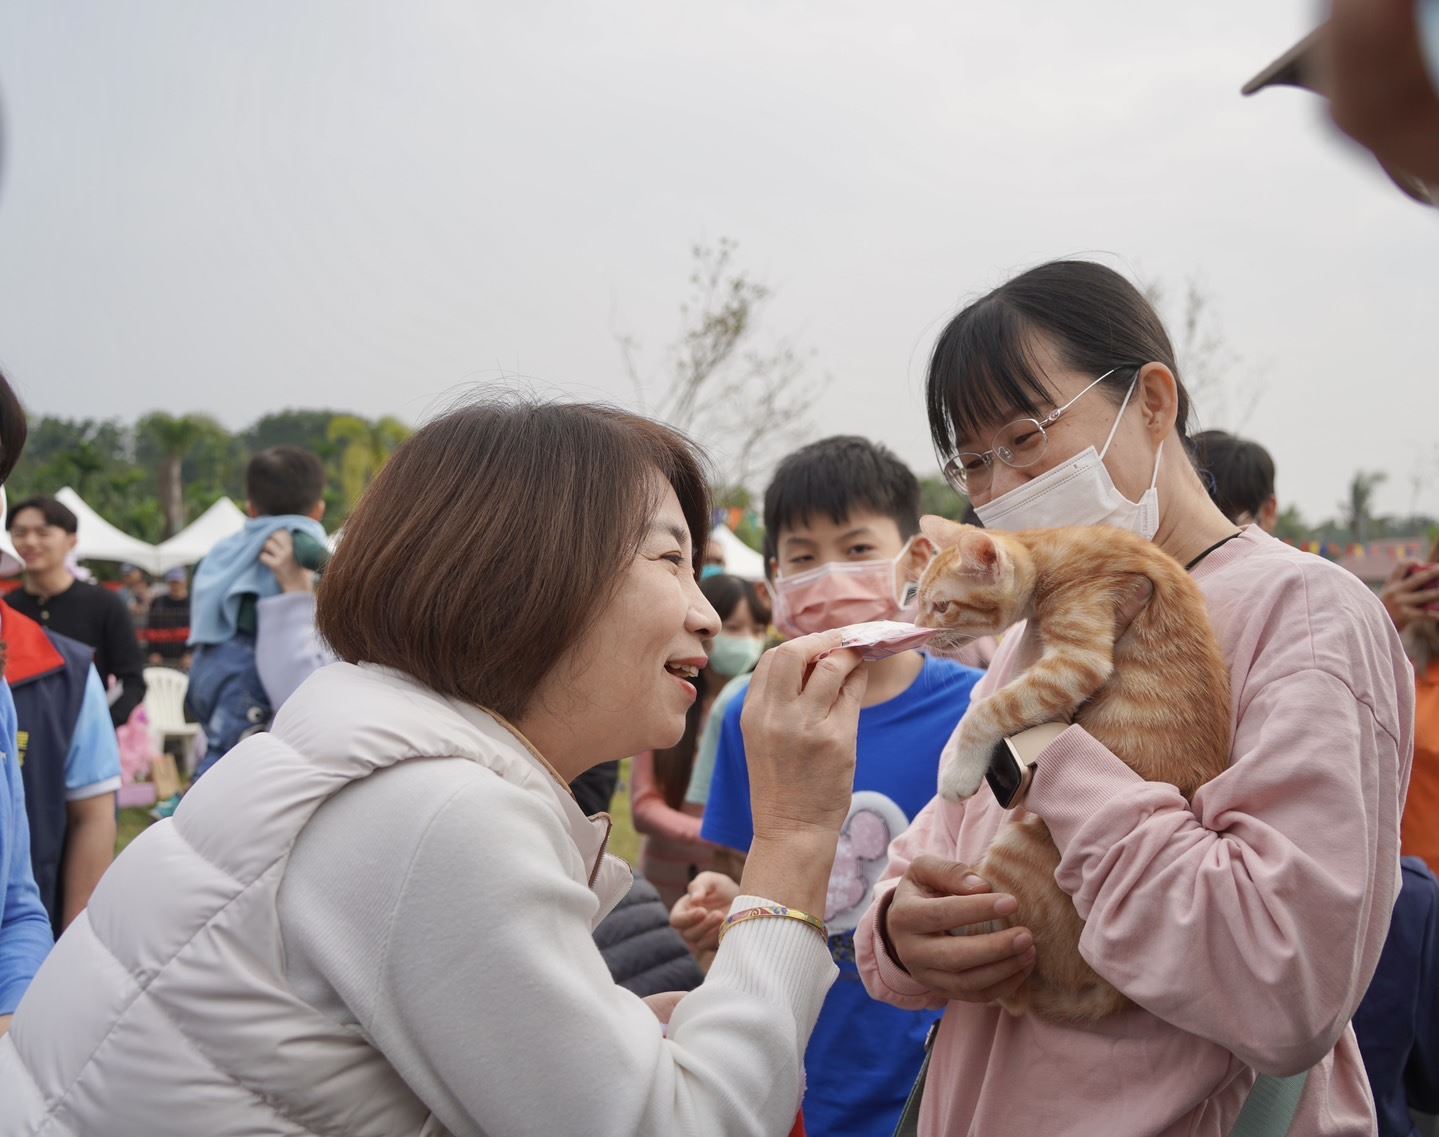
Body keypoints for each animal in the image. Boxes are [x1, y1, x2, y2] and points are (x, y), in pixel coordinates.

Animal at [915, 515, 1231, 1024]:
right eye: (920, 602)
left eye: (940, 606)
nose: (917, 631)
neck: (1052, 548)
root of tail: (1112, 993)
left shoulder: (1073, 663)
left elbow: (985, 709)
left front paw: (959, 771)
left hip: (1015, 859)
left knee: (1001, 966)